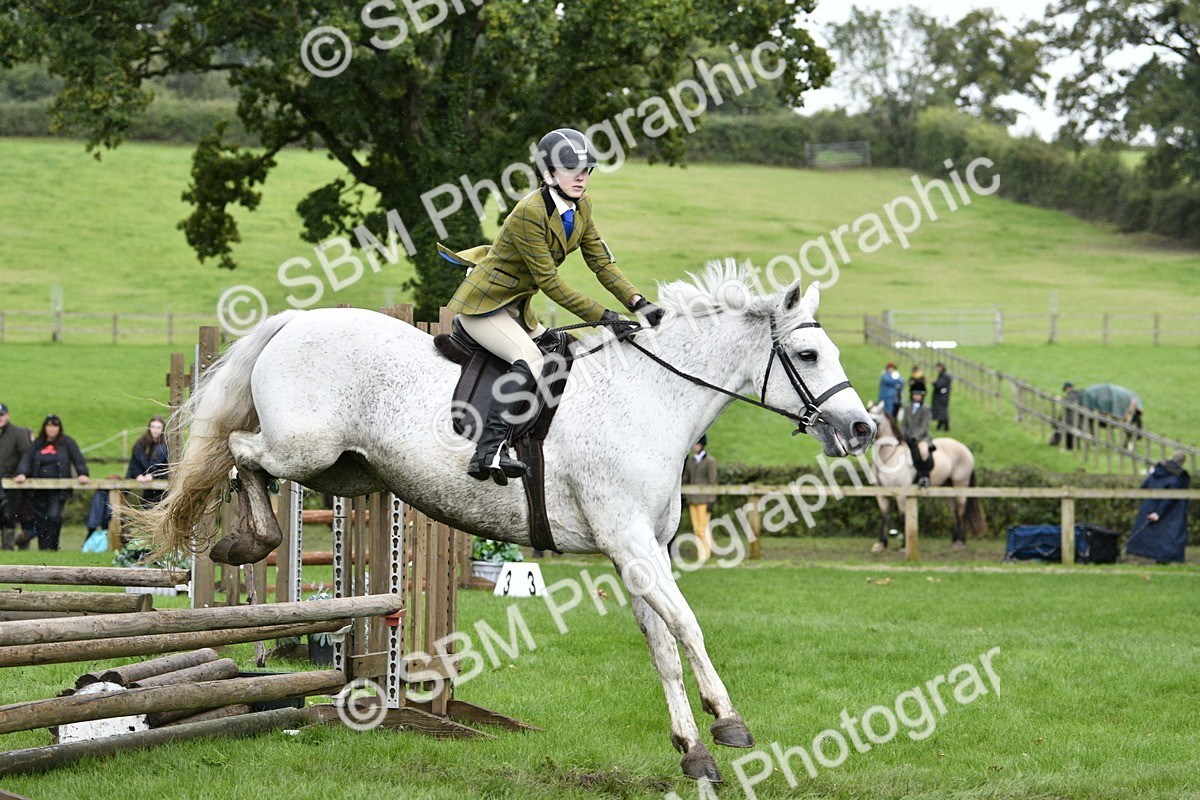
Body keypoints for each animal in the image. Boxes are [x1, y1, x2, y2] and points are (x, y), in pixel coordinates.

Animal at [136, 261, 876, 782]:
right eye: (808, 356)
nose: (863, 429)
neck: (651, 396)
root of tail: (295, 322)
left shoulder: (642, 550)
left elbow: (663, 643)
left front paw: (693, 752)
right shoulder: (629, 541)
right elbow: (688, 627)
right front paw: (730, 723)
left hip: (345, 471)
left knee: (249, 461)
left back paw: (249, 540)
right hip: (306, 448)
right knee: (239, 453)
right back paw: (247, 540)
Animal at [866, 401, 985, 551]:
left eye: (874, 420)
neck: (889, 457)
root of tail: (965, 449)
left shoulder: (901, 494)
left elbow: (903, 516)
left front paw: (904, 545)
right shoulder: (881, 494)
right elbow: (884, 516)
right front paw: (881, 544)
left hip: (960, 485)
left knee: (961, 510)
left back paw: (960, 542)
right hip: (947, 488)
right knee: (954, 512)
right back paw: (955, 540)